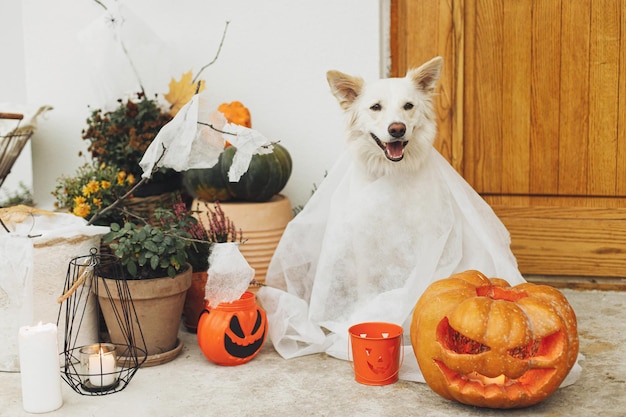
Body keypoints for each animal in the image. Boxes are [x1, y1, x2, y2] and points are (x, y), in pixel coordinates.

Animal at [255, 57, 520, 380]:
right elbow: (370, 294)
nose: (397, 129)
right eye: (376, 107)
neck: (390, 178)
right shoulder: (365, 249)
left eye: (408, 106)